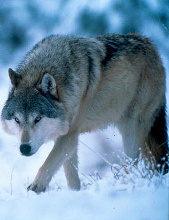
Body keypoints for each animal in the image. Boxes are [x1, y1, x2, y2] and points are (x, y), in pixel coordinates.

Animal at [0, 33, 168, 192]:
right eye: (17, 119)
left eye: (38, 118)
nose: (24, 148)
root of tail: (153, 47)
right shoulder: (65, 136)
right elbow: (70, 174)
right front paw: (74, 193)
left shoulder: (70, 135)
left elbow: (47, 165)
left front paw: (34, 189)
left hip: (131, 128)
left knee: (133, 163)